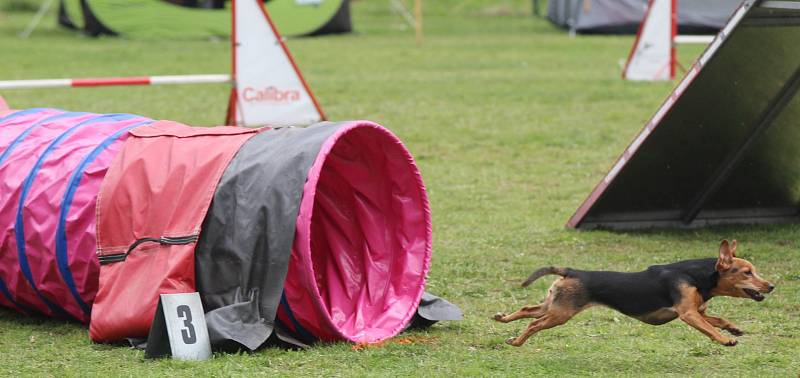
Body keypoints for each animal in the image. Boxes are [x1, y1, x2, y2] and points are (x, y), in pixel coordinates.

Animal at [494, 241, 776, 346]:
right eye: (747, 272)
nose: (771, 286)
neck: (697, 276)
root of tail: (573, 271)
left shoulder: (698, 311)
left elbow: (718, 320)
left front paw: (733, 329)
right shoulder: (688, 313)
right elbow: (709, 329)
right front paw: (725, 339)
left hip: (554, 305)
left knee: (527, 310)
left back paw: (502, 319)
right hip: (561, 313)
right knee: (534, 323)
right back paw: (517, 341)